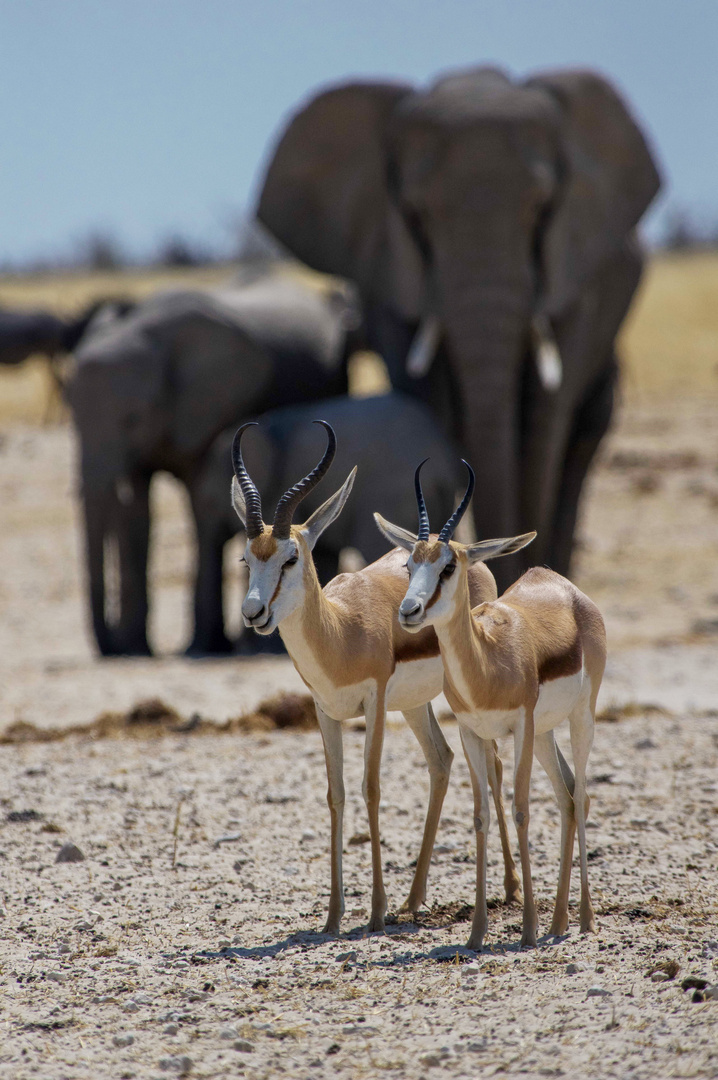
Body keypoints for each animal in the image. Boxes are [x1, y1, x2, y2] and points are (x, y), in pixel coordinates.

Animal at [65, 274, 358, 652]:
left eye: (132, 418)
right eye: (71, 410)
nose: (253, 613)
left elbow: (200, 513)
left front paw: (201, 645)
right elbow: (138, 520)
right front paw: (139, 646)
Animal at [255, 67, 660, 591]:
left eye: (540, 207)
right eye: (417, 212)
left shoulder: (577, 267)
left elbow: (545, 416)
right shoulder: (387, 271)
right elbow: (433, 398)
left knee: (584, 435)